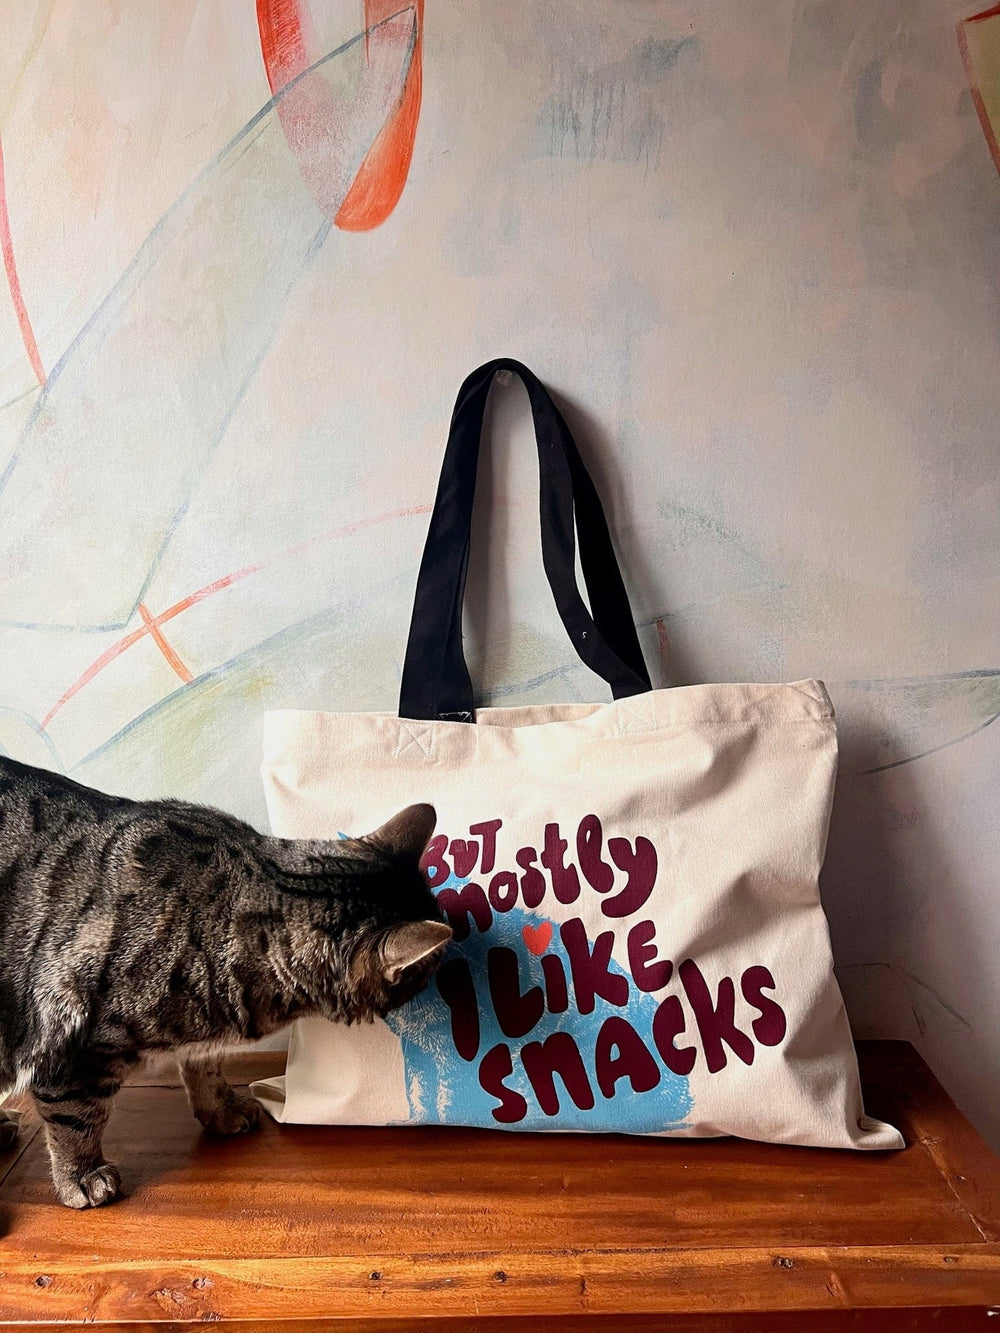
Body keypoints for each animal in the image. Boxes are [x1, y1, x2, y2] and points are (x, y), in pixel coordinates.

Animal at [0, 762, 450, 1210]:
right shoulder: (68, 1044)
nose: (445, 964)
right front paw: (83, 1175)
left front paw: (220, 1107)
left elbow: (205, 1064)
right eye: (428, 968)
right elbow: (76, 1119)